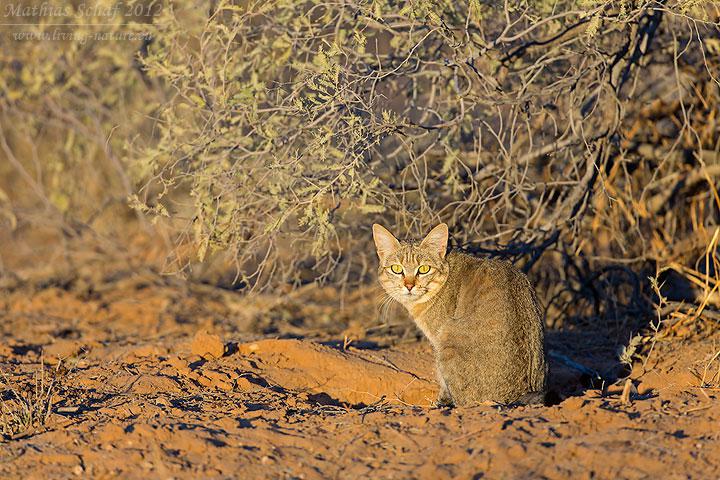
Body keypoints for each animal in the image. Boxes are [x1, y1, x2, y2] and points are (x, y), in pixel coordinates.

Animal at [372, 223, 544, 406]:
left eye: (424, 269)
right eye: (396, 269)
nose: (409, 286)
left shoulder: (438, 341)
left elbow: (444, 383)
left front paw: (439, 402)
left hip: (447, 337)